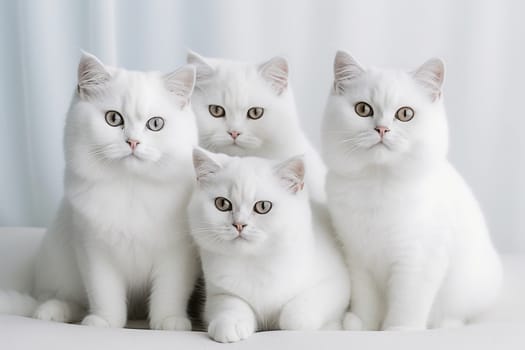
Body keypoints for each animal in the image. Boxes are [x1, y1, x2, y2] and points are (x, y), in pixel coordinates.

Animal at [0, 50, 200, 330]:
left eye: (155, 124)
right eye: (114, 119)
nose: (133, 142)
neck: (131, 186)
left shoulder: (177, 254)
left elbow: (169, 292)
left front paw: (169, 321)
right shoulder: (94, 250)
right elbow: (105, 292)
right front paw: (104, 322)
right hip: (58, 265)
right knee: (61, 298)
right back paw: (52, 311)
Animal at [187, 149, 348, 344]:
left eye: (263, 206)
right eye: (222, 204)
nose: (239, 224)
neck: (255, 261)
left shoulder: (337, 282)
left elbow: (296, 316)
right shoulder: (218, 293)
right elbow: (231, 304)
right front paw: (230, 324)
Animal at [322, 50, 502, 330]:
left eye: (405, 114)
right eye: (363, 109)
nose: (381, 129)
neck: (377, 183)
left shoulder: (418, 259)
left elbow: (407, 303)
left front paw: (399, 330)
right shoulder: (358, 258)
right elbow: (367, 300)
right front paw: (363, 325)